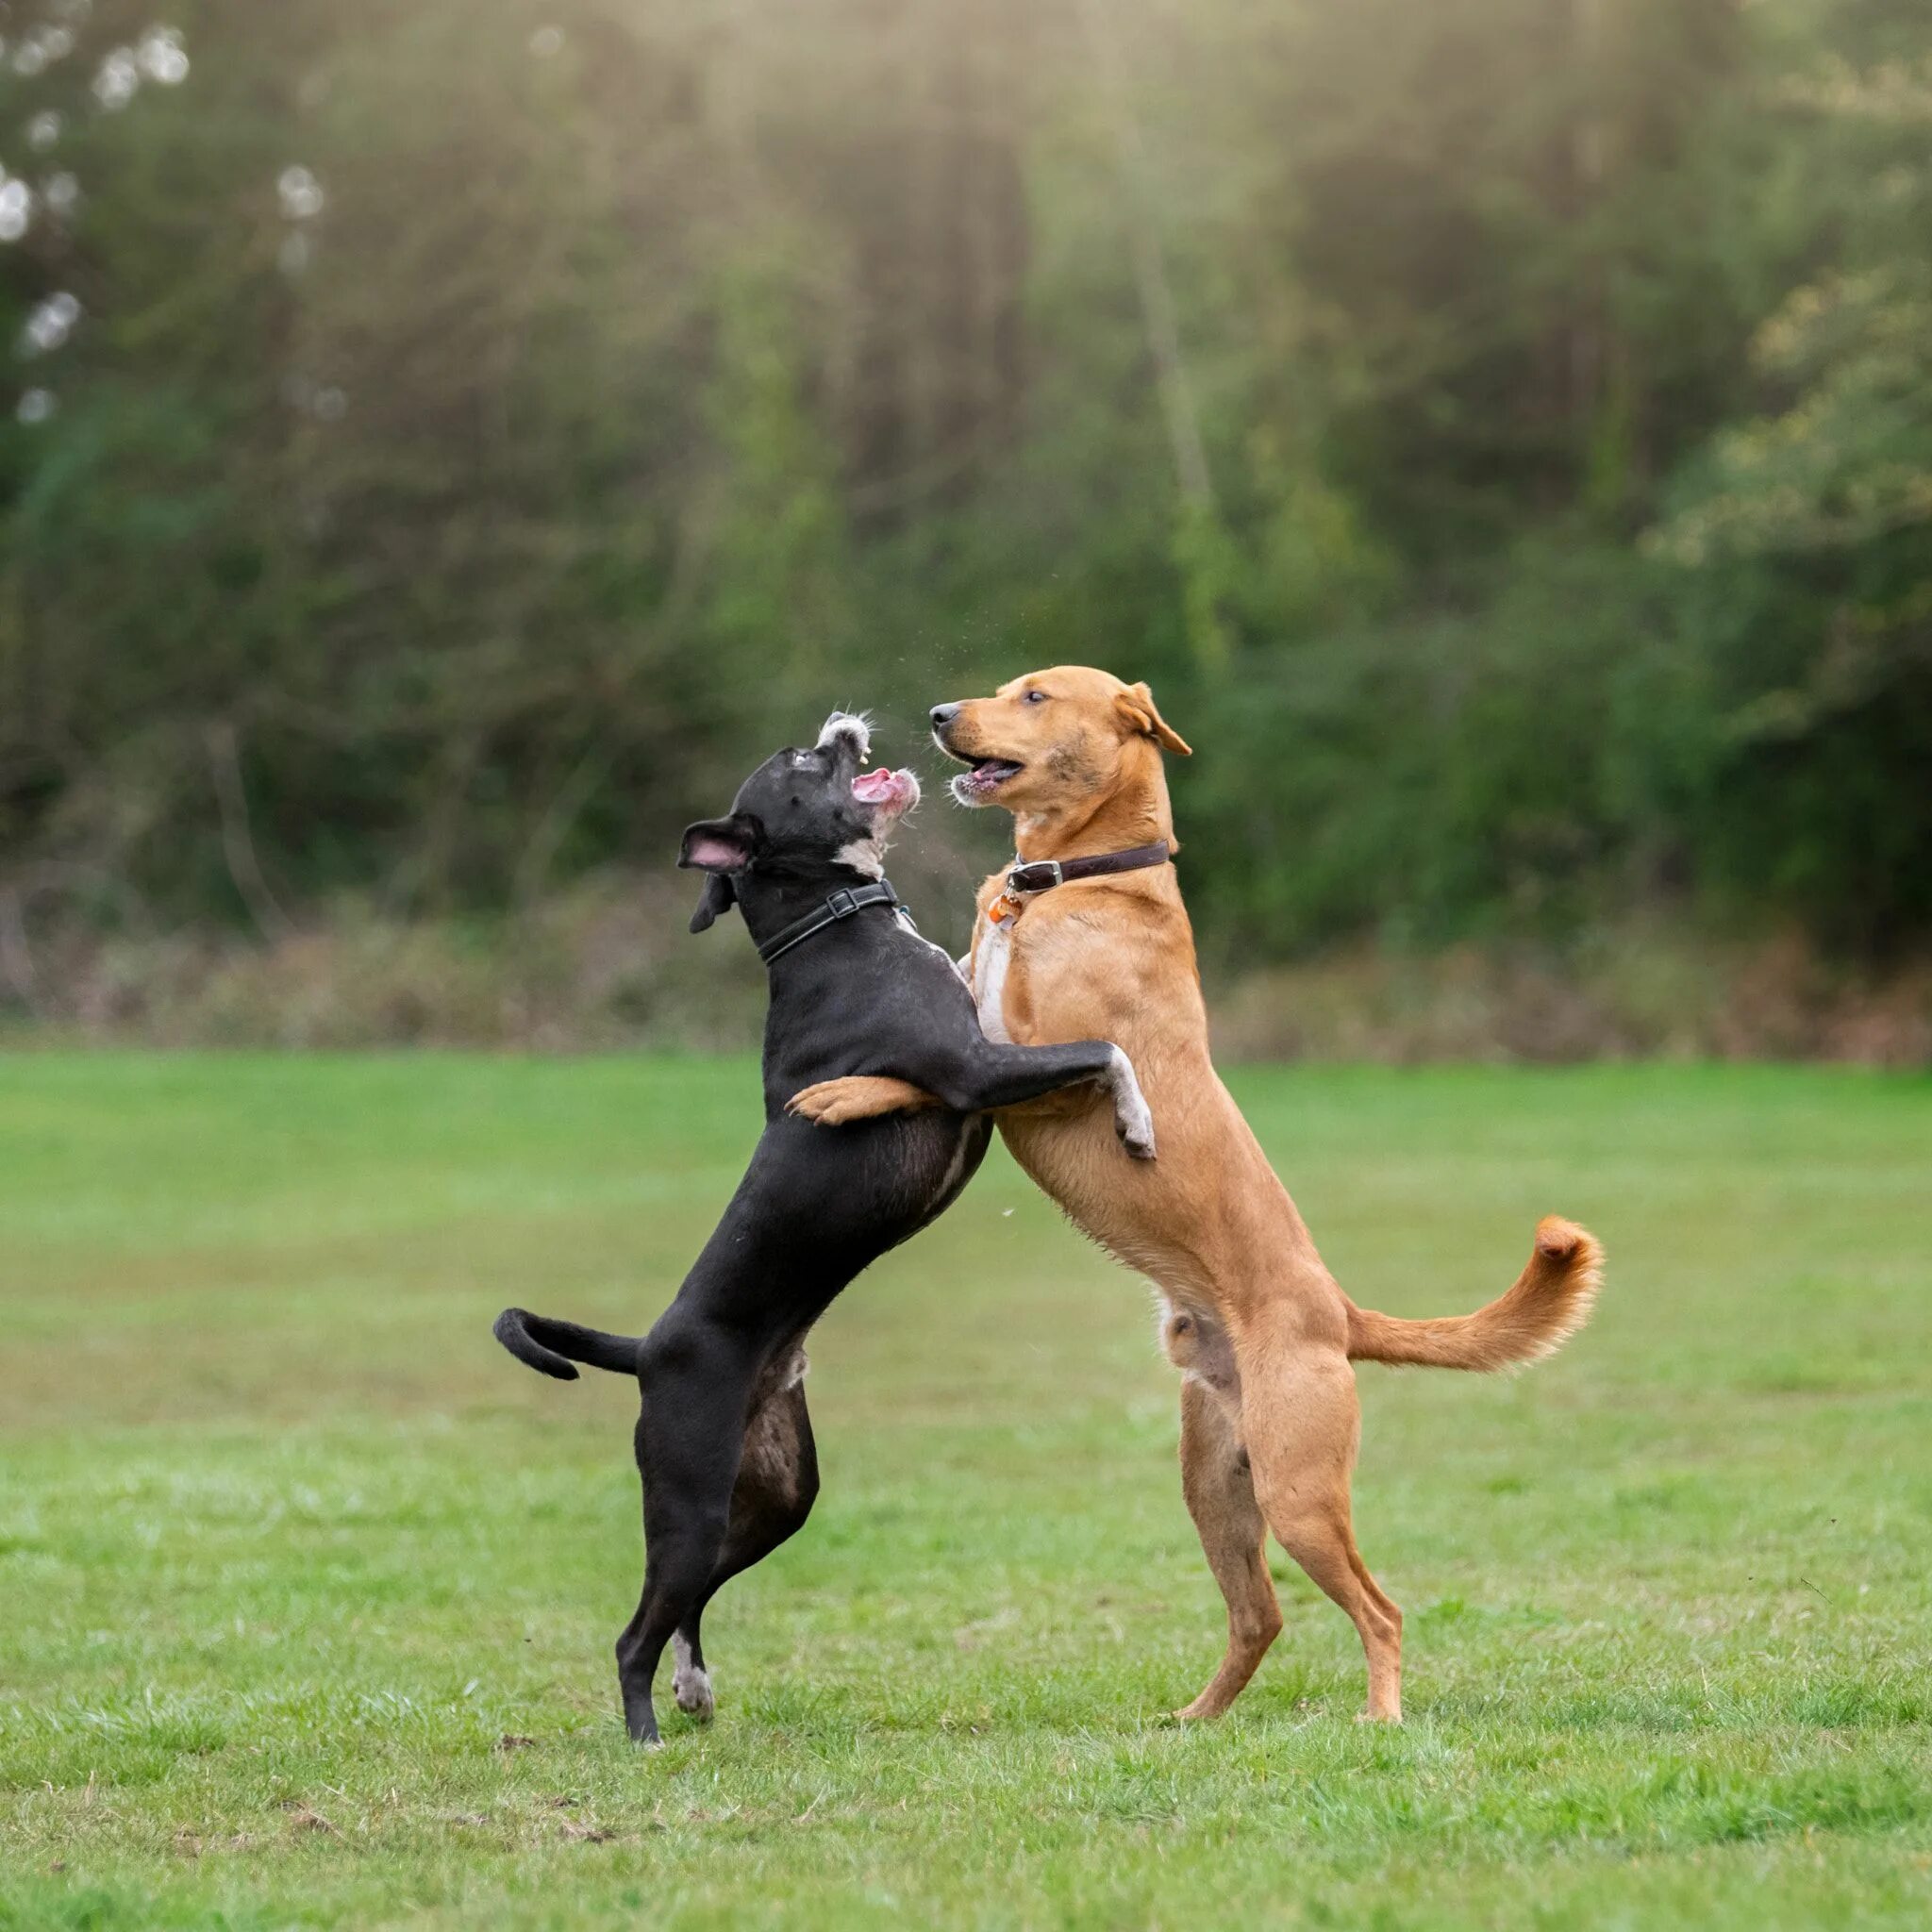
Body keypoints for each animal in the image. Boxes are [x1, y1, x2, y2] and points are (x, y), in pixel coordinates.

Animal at [494, 718, 1143, 1746]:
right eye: (800, 764)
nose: (839, 728)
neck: (834, 927)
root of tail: (647, 1348)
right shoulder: (971, 1070)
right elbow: (1104, 1049)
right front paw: (1139, 1122)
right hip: (686, 1497)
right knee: (636, 1628)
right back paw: (644, 1732)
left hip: (774, 1497)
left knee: (690, 1601)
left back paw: (693, 1687)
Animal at [784, 668, 1599, 1723]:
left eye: (1035, 695)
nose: (936, 715)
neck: (1071, 881)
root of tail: (1336, 1311)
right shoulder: (983, 1015)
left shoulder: (1036, 1064)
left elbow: (933, 1075)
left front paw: (845, 1093)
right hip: (1214, 1483)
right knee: (1260, 1614)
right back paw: (1193, 1722)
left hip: (1298, 1488)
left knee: (1379, 1610)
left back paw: (1379, 1719)